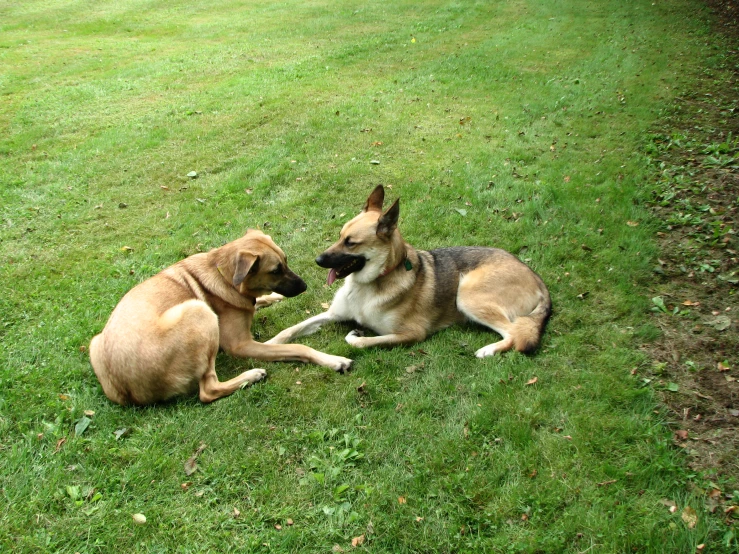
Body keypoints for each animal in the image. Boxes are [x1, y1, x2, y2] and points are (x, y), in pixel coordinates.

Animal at [88, 226, 354, 404]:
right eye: (275, 270)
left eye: (286, 262)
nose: (305, 286)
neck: (223, 275)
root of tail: (130, 390)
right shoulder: (241, 344)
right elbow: (299, 348)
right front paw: (333, 360)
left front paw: (269, 299)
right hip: (199, 311)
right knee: (208, 391)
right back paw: (251, 375)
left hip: (95, 341)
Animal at [268, 185, 552, 356]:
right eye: (339, 236)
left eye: (350, 242)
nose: (317, 260)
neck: (369, 285)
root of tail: (537, 279)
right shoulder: (332, 314)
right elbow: (291, 329)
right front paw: (269, 346)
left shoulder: (411, 334)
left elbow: (362, 341)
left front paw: (356, 336)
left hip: (468, 296)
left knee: (513, 334)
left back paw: (489, 350)